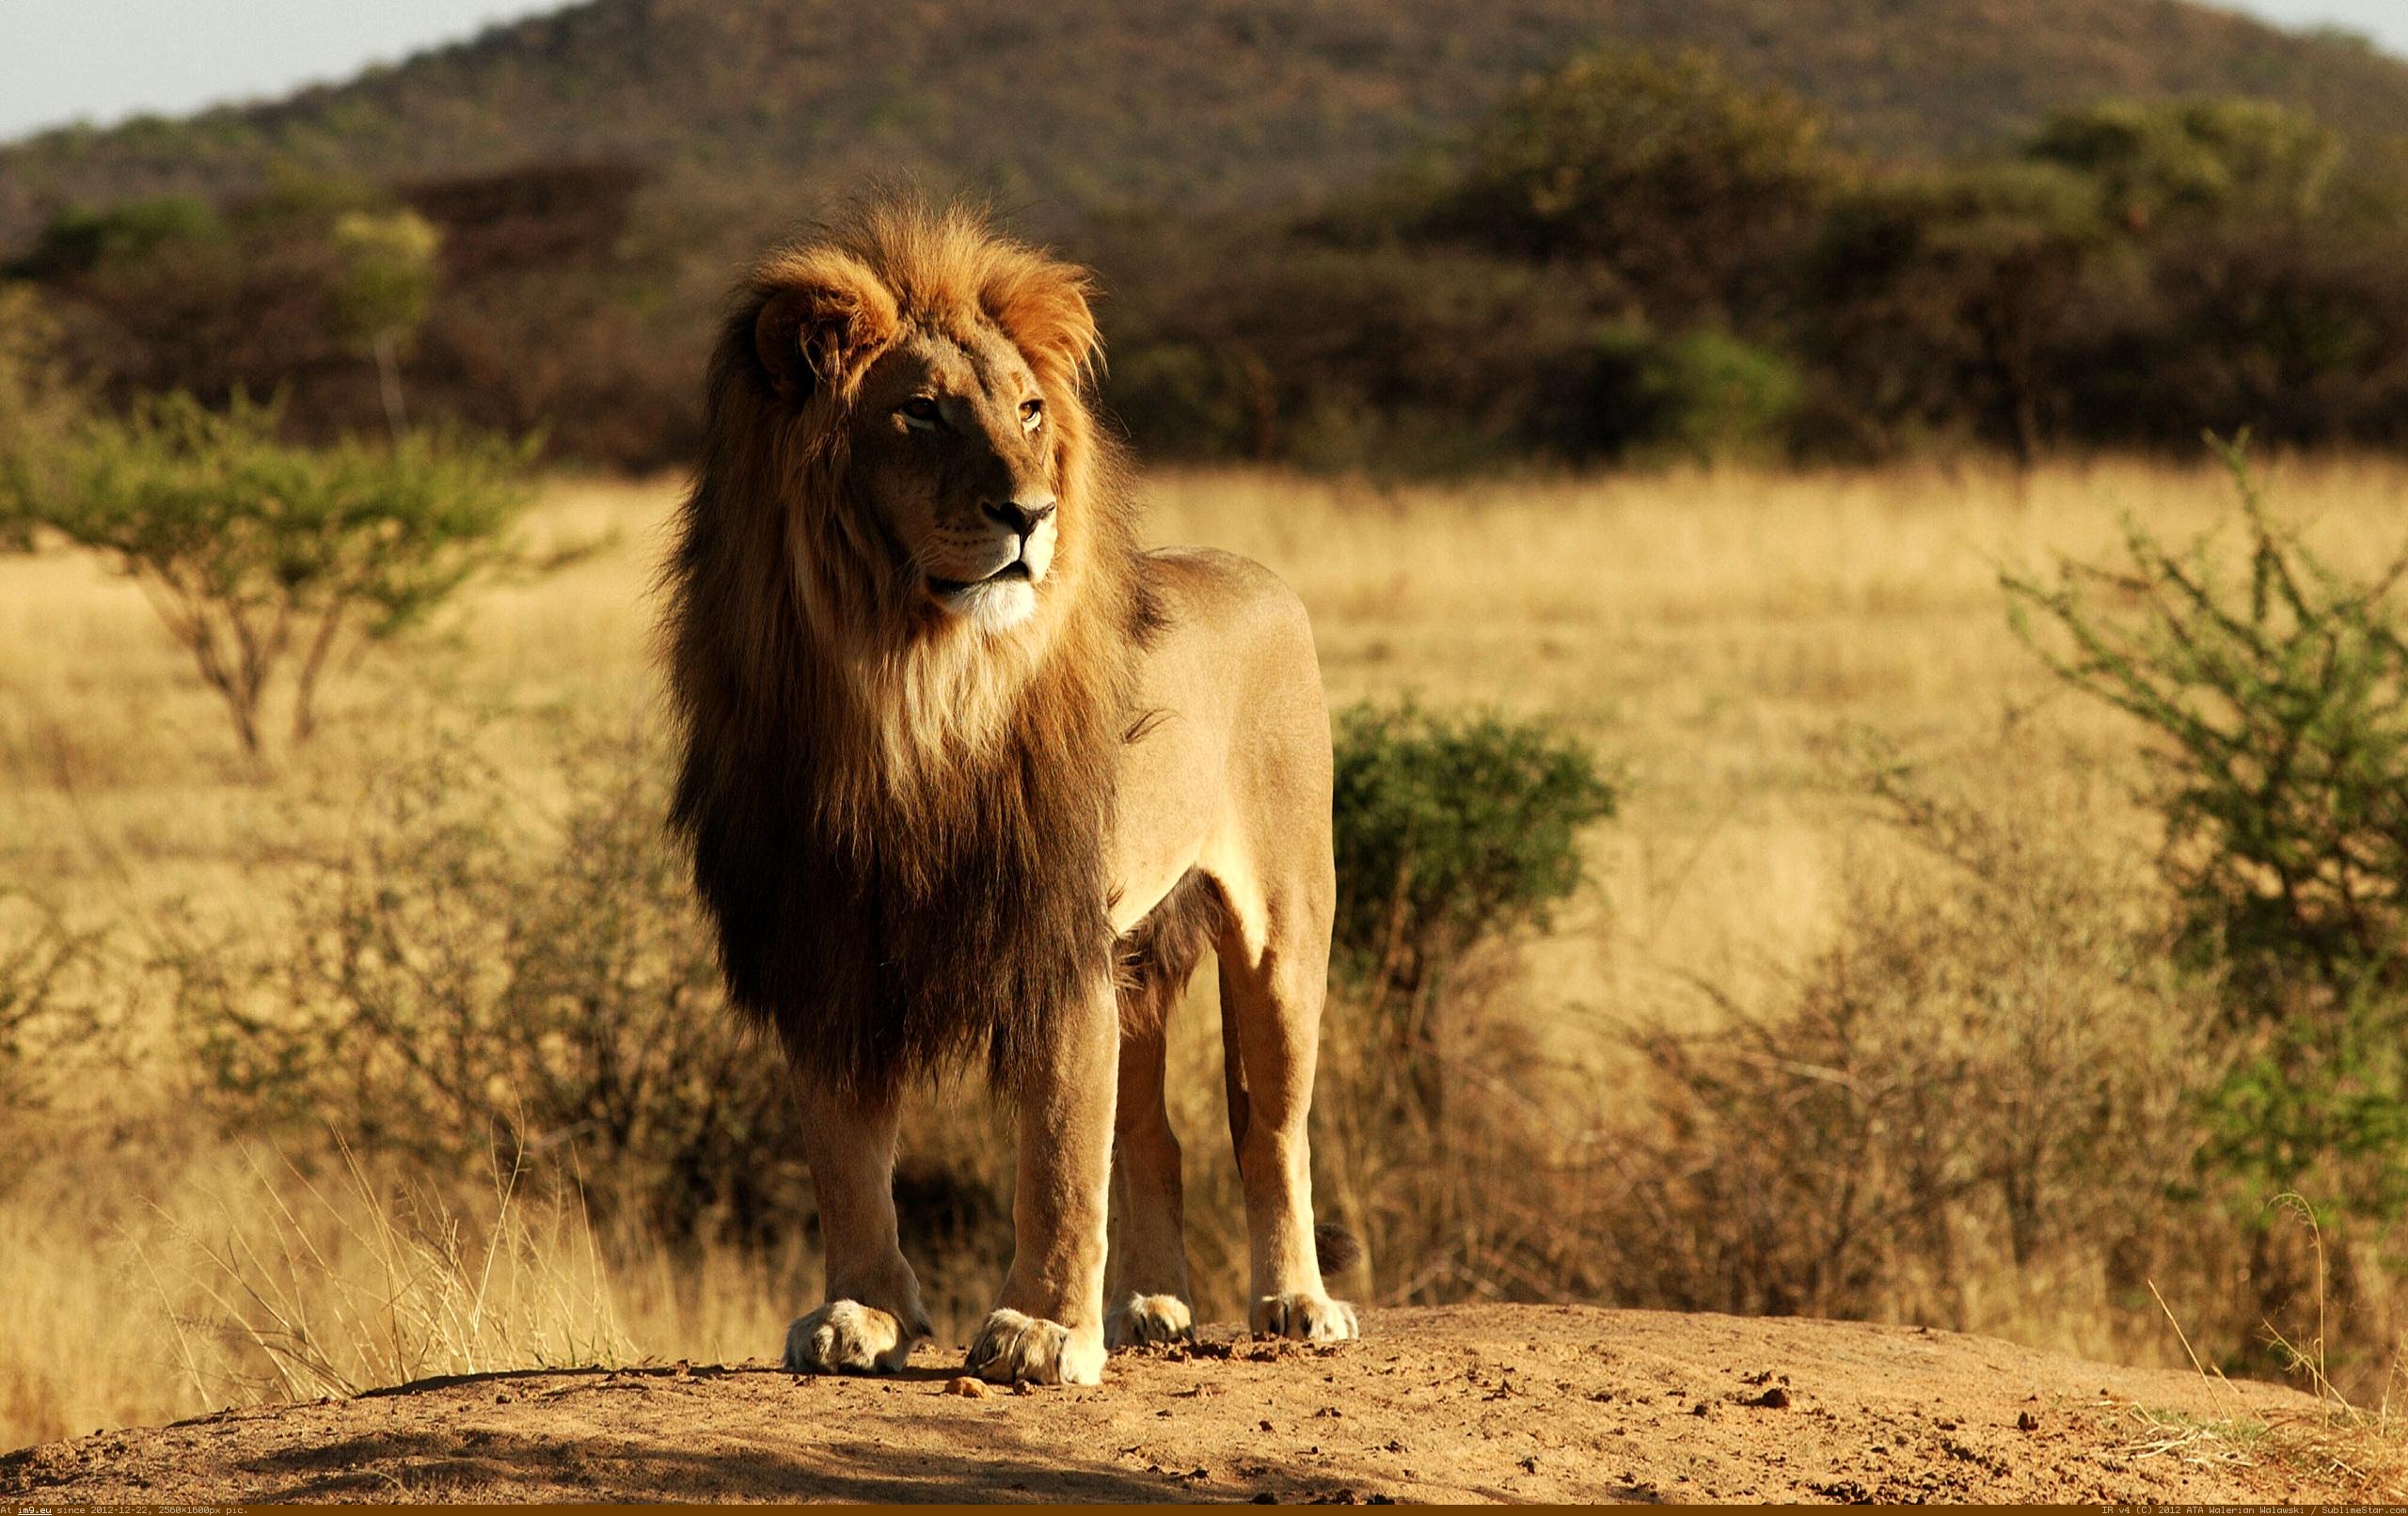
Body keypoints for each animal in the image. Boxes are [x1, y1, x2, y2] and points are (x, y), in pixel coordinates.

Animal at [662, 198, 1357, 1387]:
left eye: (1030, 411)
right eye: (921, 414)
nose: (1029, 513)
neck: (909, 685)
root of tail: (1256, 572)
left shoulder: (1051, 932)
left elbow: (1058, 1153)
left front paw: (1041, 1331)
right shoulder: (826, 937)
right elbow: (846, 1152)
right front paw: (861, 1314)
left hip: (1282, 927)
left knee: (1269, 1126)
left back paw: (1296, 1302)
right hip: (1140, 955)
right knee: (1155, 1132)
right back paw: (1149, 1307)